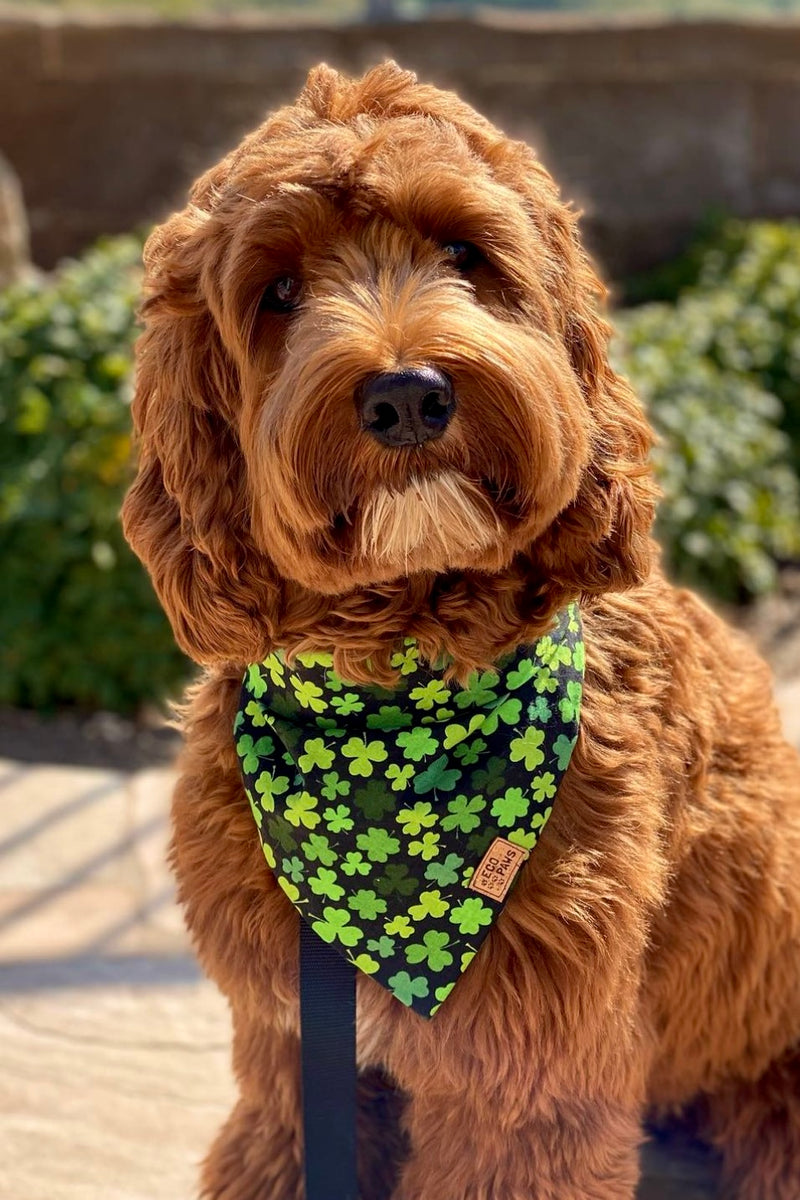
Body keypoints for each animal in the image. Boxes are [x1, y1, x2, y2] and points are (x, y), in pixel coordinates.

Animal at [122, 63, 800, 1200]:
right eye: (278, 292)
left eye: (463, 254)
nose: (406, 395)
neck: (393, 693)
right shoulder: (290, 1051)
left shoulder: (524, 1079)